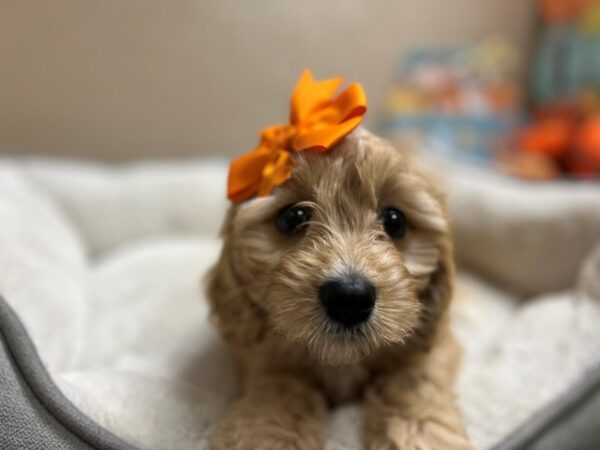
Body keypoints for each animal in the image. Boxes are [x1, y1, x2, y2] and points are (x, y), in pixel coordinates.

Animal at [206, 126, 474, 450]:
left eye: (395, 221)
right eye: (292, 217)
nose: (349, 299)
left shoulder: (432, 342)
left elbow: (414, 381)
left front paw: (422, 436)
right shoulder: (263, 352)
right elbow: (279, 388)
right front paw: (265, 435)